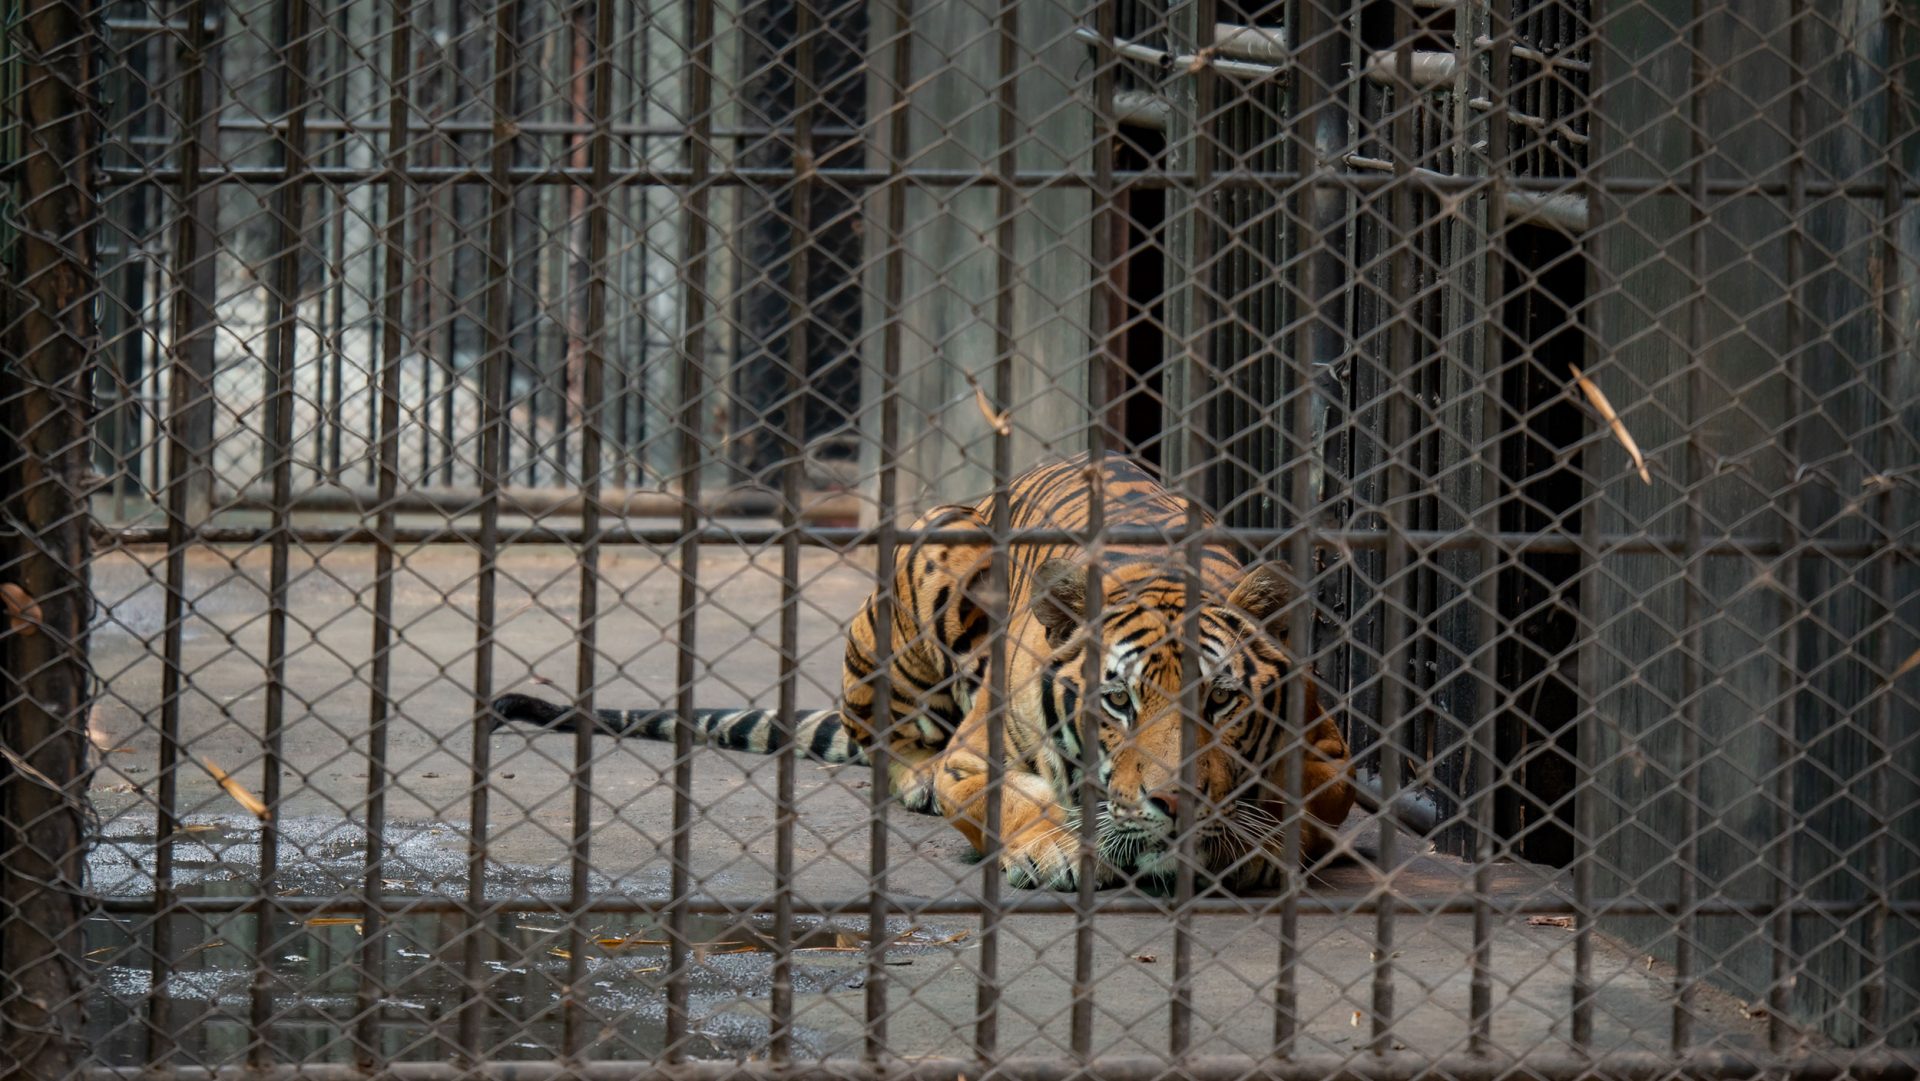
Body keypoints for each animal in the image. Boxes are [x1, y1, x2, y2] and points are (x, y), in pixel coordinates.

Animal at [492, 453, 1356, 891]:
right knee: (891, 735)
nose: (1174, 802)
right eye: (1117, 701)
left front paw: (1246, 845)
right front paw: (1052, 849)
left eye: (1223, 700)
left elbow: (1304, 801)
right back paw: (914, 778)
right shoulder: (977, 757)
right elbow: (1001, 799)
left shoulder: (1332, 756)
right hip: (933, 558)